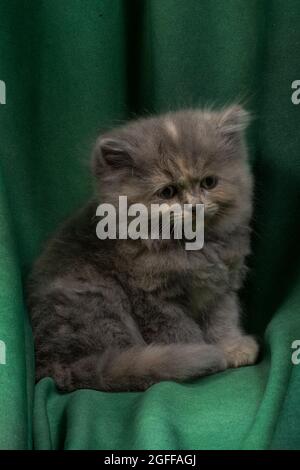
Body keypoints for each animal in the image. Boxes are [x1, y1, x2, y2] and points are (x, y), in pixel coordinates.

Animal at [27, 106, 258, 392]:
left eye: (209, 182)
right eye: (167, 192)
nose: (195, 206)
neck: (193, 248)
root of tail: (53, 365)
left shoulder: (221, 288)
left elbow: (222, 321)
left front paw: (232, 348)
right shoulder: (154, 300)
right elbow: (181, 332)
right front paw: (204, 353)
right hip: (102, 300)